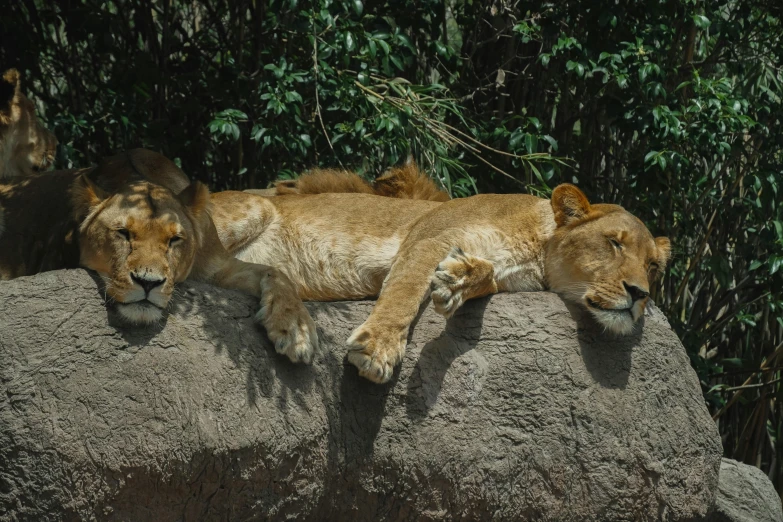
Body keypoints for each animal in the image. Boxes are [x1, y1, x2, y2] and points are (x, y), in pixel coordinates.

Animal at [0, 148, 318, 364]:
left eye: (174, 240)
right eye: (123, 234)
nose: (148, 283)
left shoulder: (218, 268)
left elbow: (276, 272)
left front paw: (296, 330)